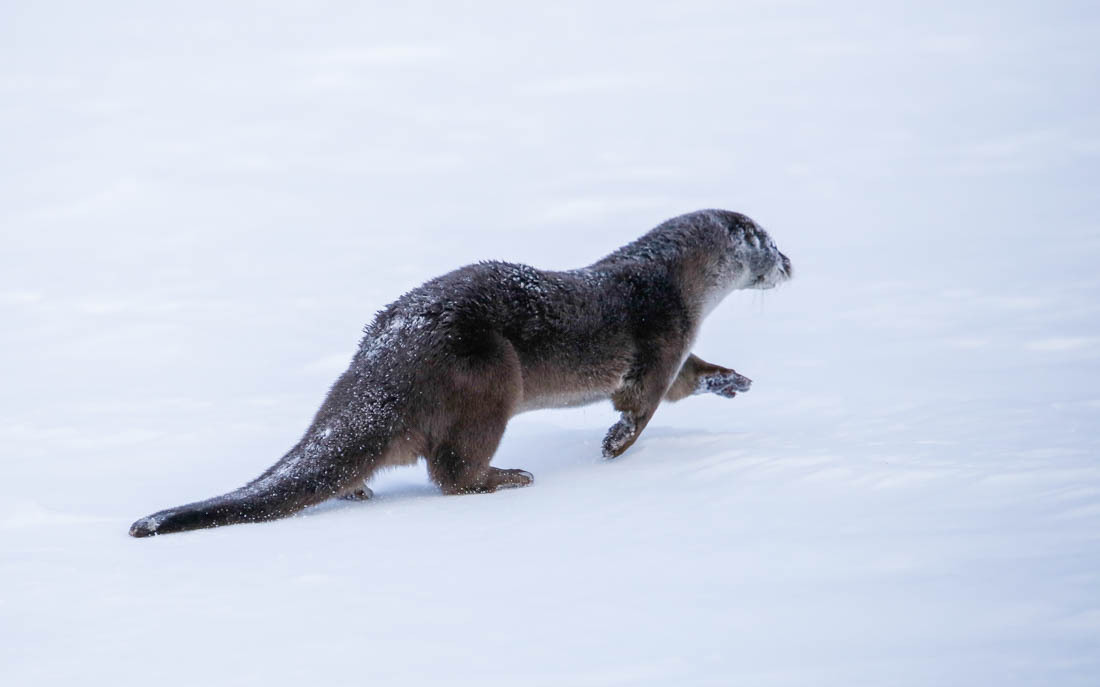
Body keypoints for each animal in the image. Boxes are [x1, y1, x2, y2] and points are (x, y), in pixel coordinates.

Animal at [130, 208, 792, 536]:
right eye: (771, 246)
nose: (791, 262)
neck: (674, 281)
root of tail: (384, 361)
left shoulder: (680, 350)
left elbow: (690, 379)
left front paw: (733, 380)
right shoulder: (662, 335)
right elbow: (644, 402)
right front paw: (614, 446)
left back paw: (359, 489)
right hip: (487, 376)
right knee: (451, 471)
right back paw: (510, 477)